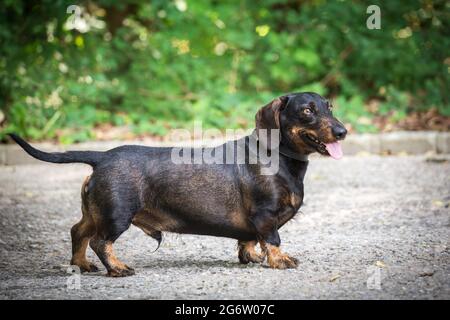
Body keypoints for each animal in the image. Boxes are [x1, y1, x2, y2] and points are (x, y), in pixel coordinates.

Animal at [8, 91, 346, 276]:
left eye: (329, 107)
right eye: (307, 111)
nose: (343, 132)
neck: (277, 156)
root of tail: (101, 156)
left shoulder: (255, 222)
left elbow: (249, 239)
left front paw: (250, 256)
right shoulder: (265, 214)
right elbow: (273, 239)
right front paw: (279, 260)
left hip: (97, 211)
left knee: (78, 232)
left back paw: (81, 265)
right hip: (117, 214)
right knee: (100, 242)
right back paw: (117, 268)